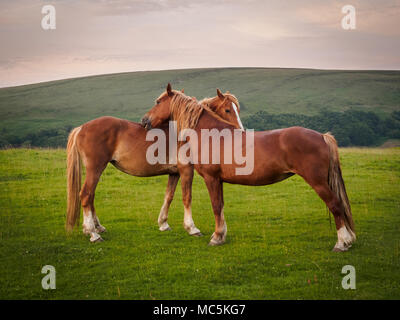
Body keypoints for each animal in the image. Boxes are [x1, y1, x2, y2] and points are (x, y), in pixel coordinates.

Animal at [65, 86, 244, 241]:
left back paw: (96, 227)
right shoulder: (186, 170)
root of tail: (82, 128)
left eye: (238, 109)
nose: (240, 131)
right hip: (95, 169)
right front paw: (192, 228)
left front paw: (163, 224)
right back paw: (93, 233)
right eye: (228, 110)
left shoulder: (174, 173)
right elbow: (187, 197)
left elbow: (169, 196)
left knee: (91, 196)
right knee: (86, 195)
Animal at [141, 85, 356, 252]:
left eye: (158, 101)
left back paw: (342, 243)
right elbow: (221, 206)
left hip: (318, 182)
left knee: (335, 205)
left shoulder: (211, 178)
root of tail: (322, 136)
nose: (144, 120)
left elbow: (216, 206)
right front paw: (221, 235)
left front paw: (216, 238)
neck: (211, 135)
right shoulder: (219, 180)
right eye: (228, 110)